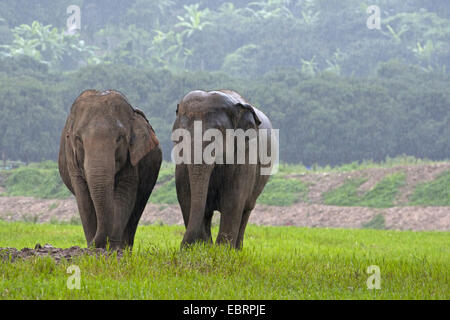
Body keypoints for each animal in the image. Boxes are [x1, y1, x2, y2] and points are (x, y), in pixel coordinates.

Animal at [59, 89, 162, 249]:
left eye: (119, 138)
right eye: (78, 139)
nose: (91, 245)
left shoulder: (131, 161)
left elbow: (124, 194)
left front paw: (112, 248)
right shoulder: (72, 161)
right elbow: (84, 200)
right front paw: (94, 248)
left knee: (136, 210)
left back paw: (124, 248)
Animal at [172, 89, 276, 249]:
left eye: (217, 134)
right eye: (181, 134)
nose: (182, 247)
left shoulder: (245, 155)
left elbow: (232, 199)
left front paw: (222, 251)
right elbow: (185, 195)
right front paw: (202, 249)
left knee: (246, 210)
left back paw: (236, 250)